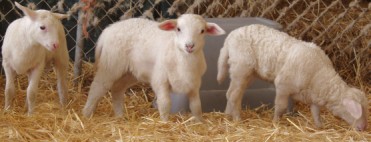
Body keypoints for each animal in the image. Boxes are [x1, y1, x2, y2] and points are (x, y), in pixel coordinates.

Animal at [83, 13, 225, 121]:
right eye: (178, 29)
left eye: (202, 31)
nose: (189, 46)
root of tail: (108, 29)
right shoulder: (160, 80)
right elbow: (165, 103)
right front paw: (165, 122)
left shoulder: (194, 84)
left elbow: (196, 106)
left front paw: (199, 122)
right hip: (111, 65)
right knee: (97, 87)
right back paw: (86, 115)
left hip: (131, 72)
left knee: (117, 89)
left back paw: (120, 117)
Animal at [218, 24, 370, 131]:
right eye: (358, 111)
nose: (363, 128)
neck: (319, 75)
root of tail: (229, 38)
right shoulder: (283, 85)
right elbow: (281, 107)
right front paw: (276, 123)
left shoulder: (313, 95)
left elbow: (316, 112)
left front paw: (319, 126)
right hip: (241, 67)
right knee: (233, 94)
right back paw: (237, 119)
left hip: (247, 74)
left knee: (233, 93)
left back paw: (227, 116)